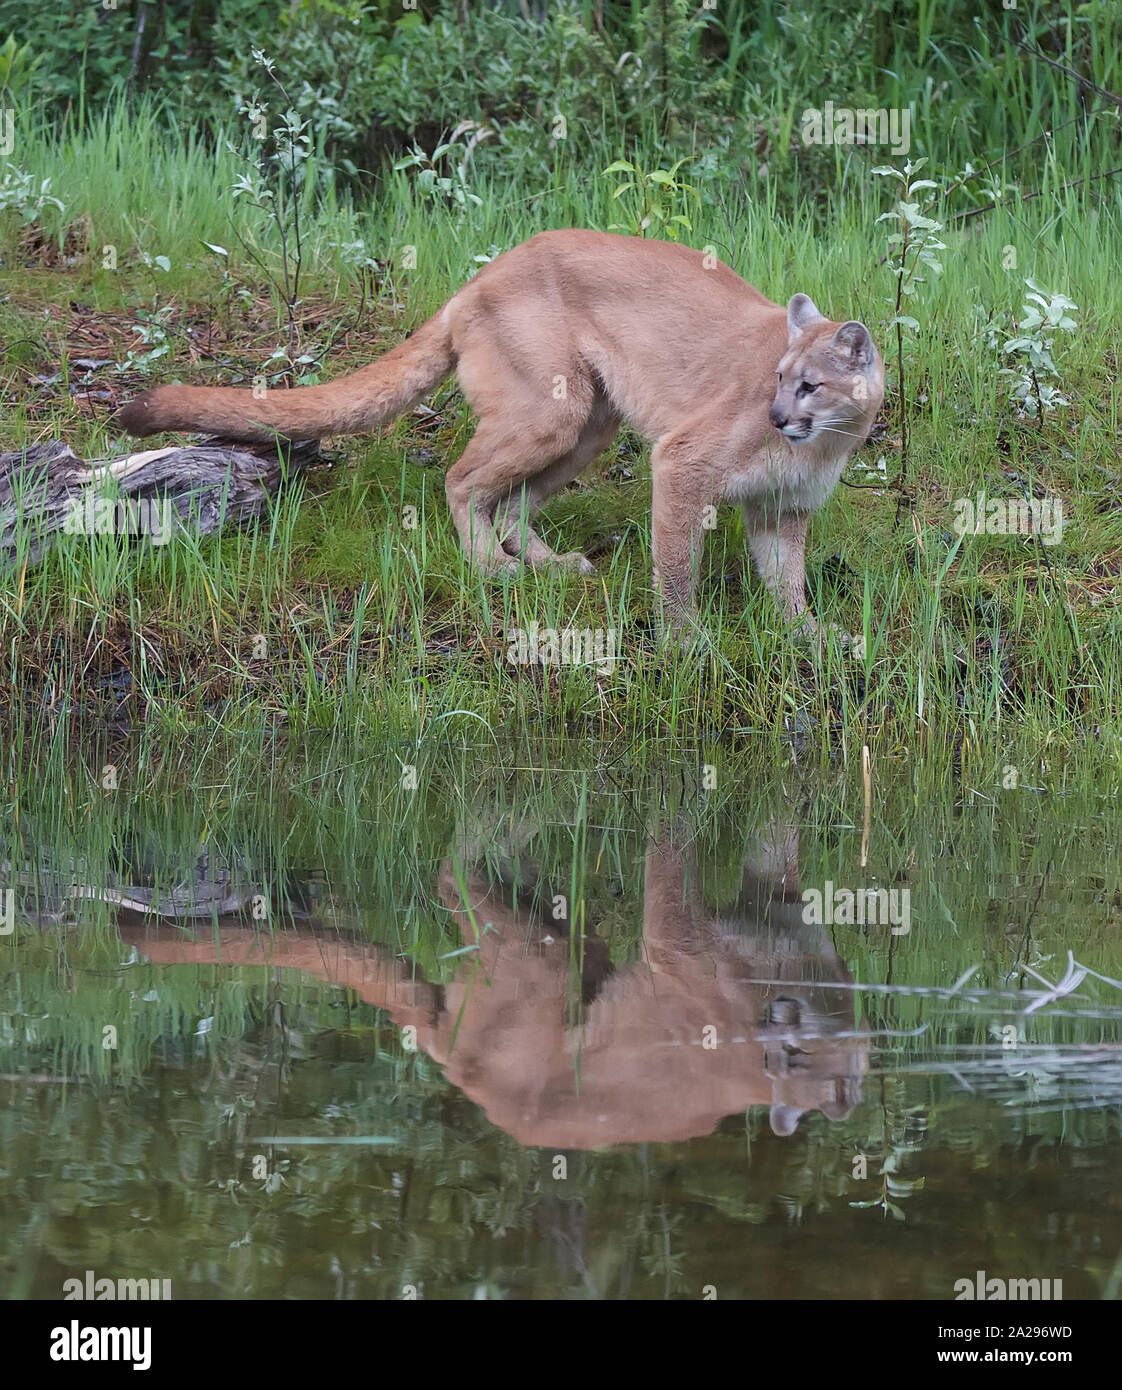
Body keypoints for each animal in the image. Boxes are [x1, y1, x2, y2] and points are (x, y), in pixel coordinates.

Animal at [116, 232, 884, 636]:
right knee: (461, 481)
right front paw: (684, 640)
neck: (823, 444)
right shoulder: (682, 462)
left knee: (510, 499)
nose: (777, 418)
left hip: (586, 423)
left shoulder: (782, 510)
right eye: (778, 380)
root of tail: (487, 271)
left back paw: (548, 565)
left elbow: (786, 579)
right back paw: (491, 567)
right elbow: (676, 565)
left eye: (808, 385)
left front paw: (809, 634)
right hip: (552, 410)